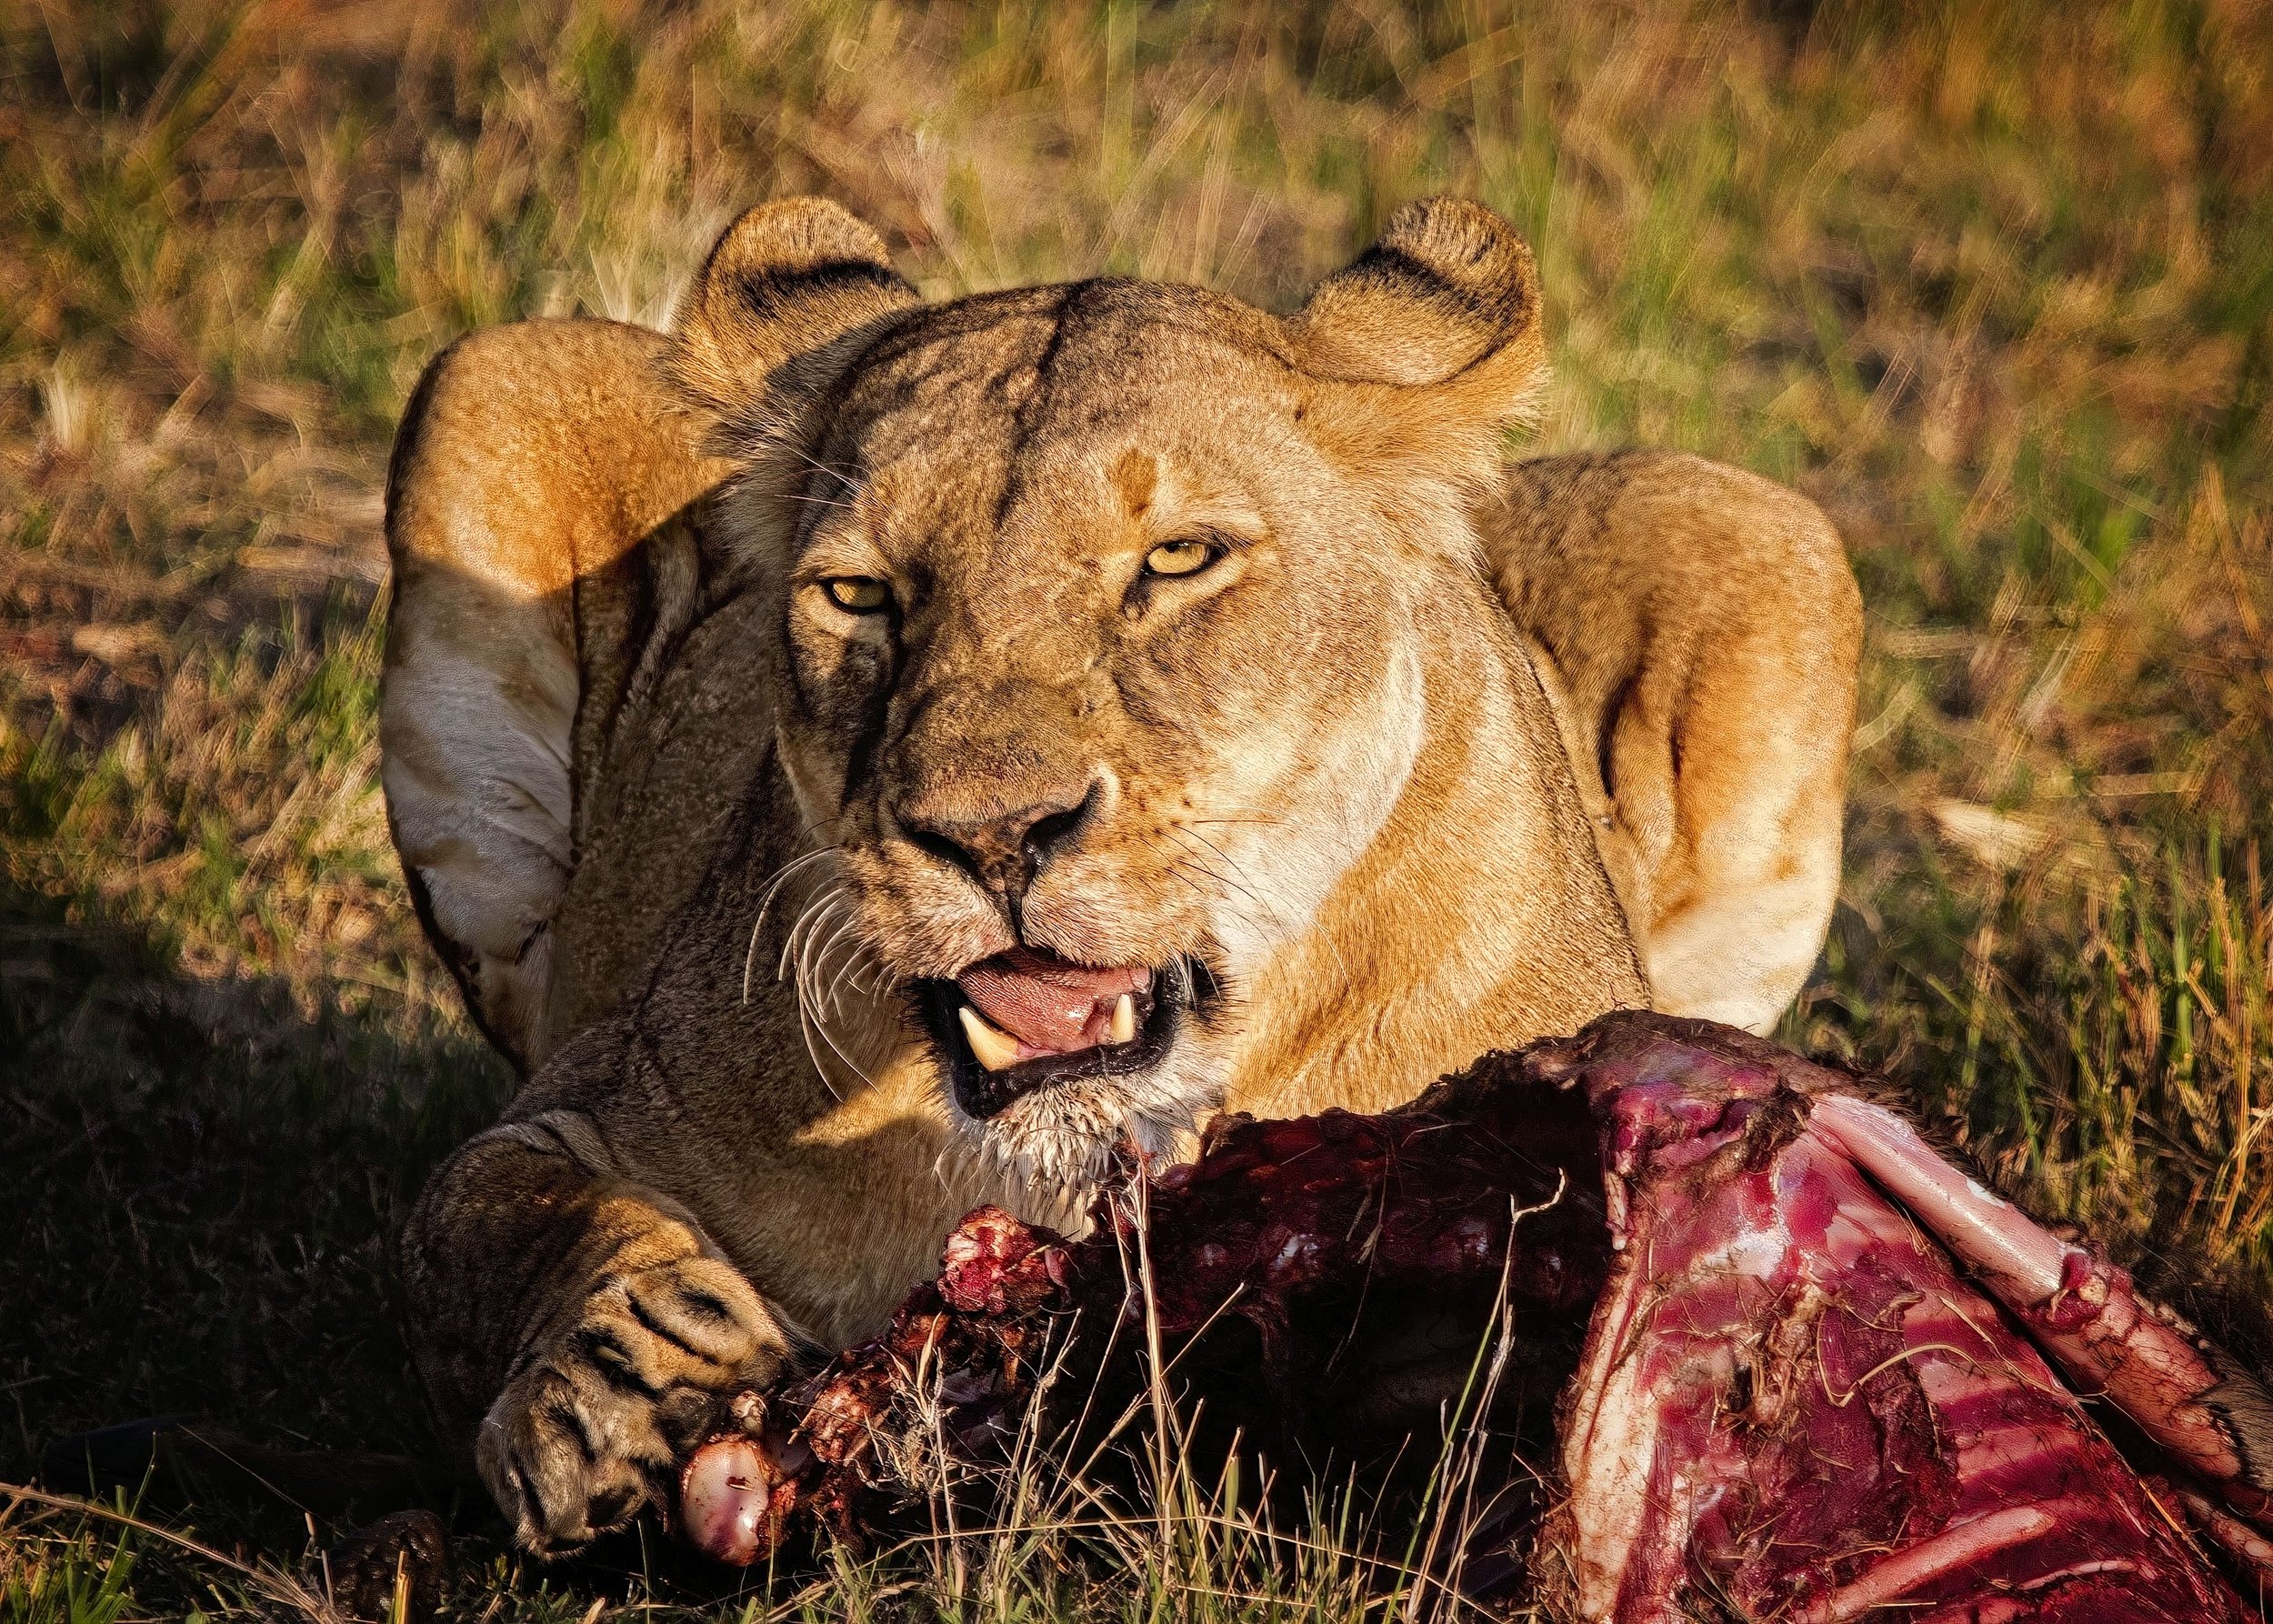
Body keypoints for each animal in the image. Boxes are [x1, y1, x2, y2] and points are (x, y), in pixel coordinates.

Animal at [381, 196, 1860, 1552]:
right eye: (860, 595)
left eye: (1177, 559)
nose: (988, 834)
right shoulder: (592, 1102)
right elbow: (493, 1218)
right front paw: (610, 1385)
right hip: (495, 370)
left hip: (1757, 532)